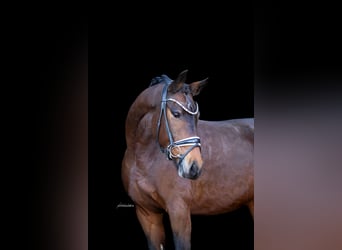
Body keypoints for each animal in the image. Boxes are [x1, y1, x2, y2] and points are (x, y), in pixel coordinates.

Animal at [121, 69, 252, 249]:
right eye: (176, 114)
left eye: (197, 116)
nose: (194, 167)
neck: (141, 158)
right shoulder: (147, 214)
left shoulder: (179, 211)